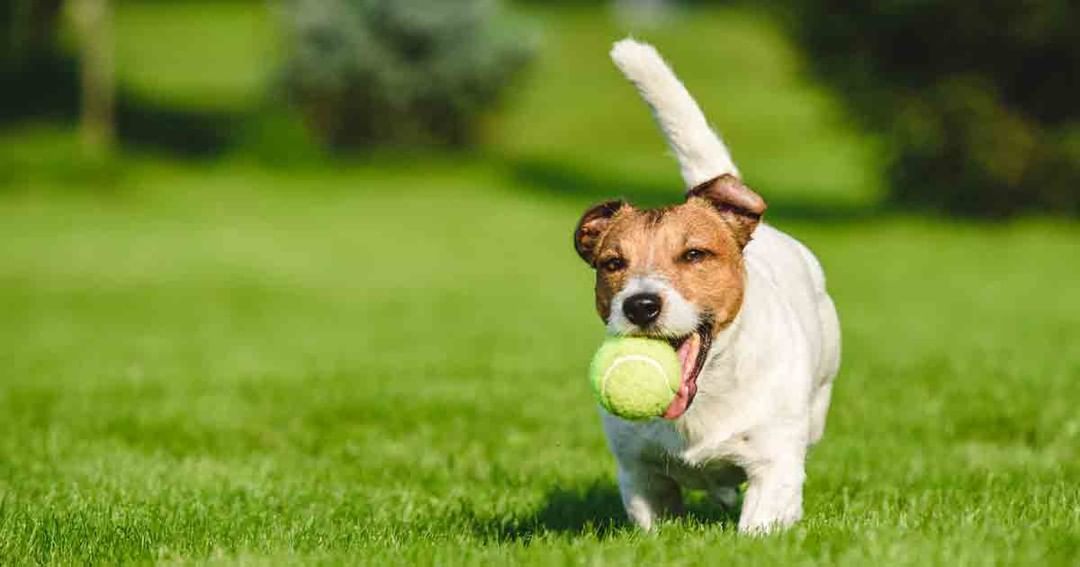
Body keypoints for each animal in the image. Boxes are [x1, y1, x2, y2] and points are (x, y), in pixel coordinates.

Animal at [574, 38, 842, 531]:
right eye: (612, 263)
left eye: (694, 254)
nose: (641, 305)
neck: (705, 398)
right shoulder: (640, 475)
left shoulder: (774, 463)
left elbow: (762, 521)